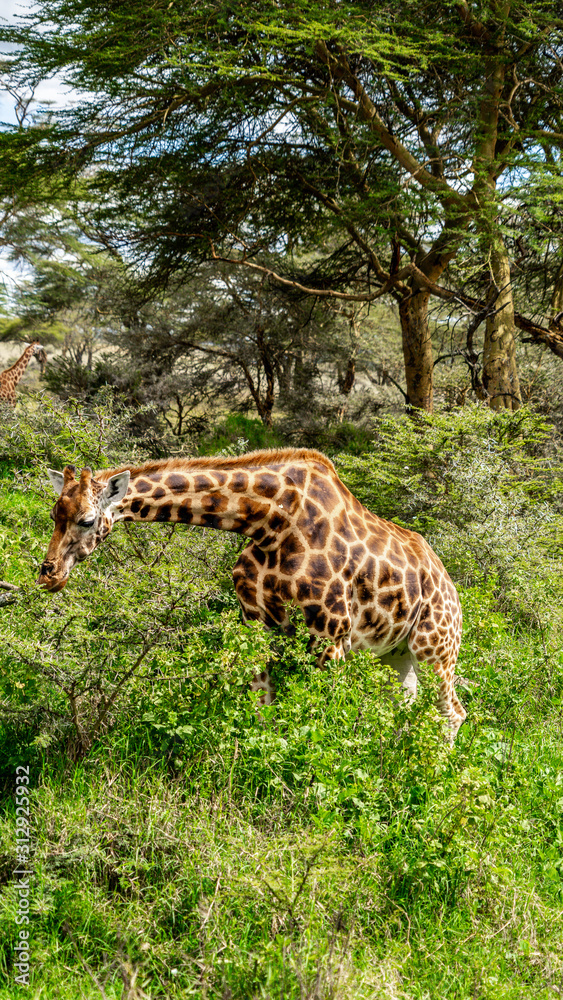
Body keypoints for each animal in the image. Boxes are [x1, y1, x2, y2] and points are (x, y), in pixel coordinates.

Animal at [39, 449, 466, 738]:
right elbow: (263, 709)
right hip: (395, 653)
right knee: (405, 706)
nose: (49, 574)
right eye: (54, 515)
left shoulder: (331, 633)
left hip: (435, 647)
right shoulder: (258, 623)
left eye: (87, 520)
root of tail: (452, 589)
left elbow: (323, 721)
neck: (268, 521)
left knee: (452, 711)